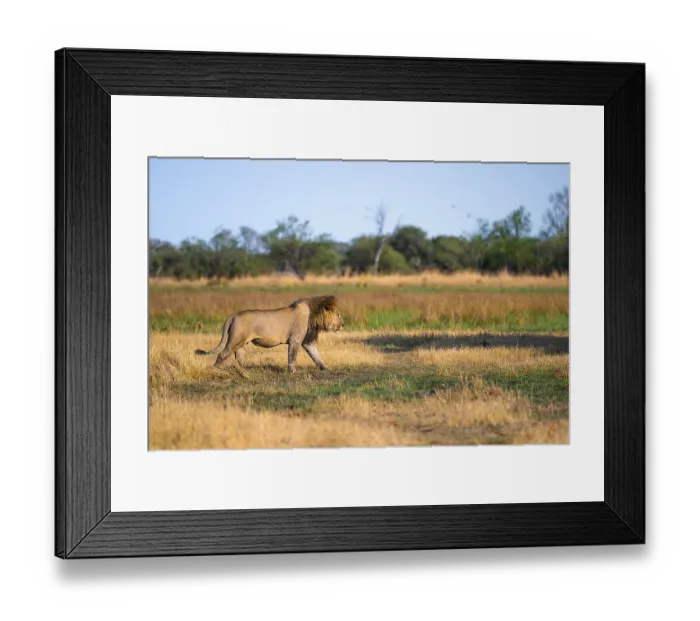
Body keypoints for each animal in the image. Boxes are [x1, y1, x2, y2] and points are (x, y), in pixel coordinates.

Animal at [194, 295, 344, 378]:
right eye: (338, 315)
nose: (343, 324)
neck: (315, 316)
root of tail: (234, 315)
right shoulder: (295, 340)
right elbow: (292, 357)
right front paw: (292, 371)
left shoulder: (307, 341)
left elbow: (316, 355)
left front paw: (325, 368)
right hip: (234, 341)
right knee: (221, 355)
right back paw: (217, 370)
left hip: (241, 344)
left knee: (238, 362)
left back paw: (244, 374)